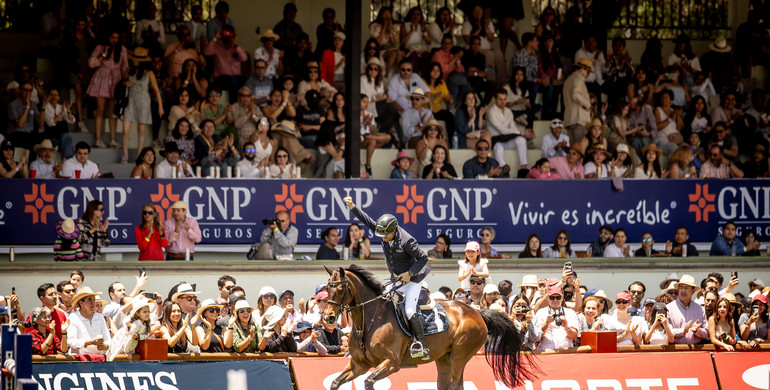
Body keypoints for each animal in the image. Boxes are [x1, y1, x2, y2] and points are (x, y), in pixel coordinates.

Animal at [320, 266, 532, 390]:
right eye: (327, 287)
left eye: (340, 289)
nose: (328, 317)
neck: (368, 321)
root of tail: (477, 312)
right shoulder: (359, 365)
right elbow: (335, 383)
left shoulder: (391, 363)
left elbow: (369, 382)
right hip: (444, 359)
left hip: (459, 355)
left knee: (455, 384)